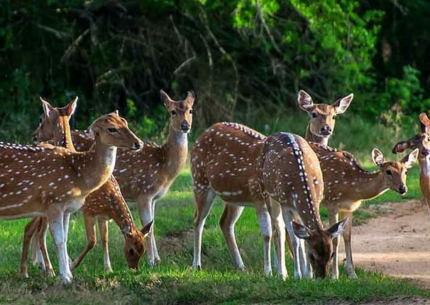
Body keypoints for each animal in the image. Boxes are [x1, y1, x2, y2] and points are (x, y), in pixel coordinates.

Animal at [0, 110, 144, 284]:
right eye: (112, 128)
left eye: (125, 122)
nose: (139, 143)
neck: (79, 174)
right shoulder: (53, 202)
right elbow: (59, 240)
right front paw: (65, 277)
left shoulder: (65, 208)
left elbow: (65, 238)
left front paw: (67, 272)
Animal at [258, 132, 346, 276]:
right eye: (312, 256)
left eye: (332, 255)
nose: (322, 277)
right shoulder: (286, 204)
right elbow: (294, 240)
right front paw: (297, 274)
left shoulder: (316, 200)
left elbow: (303, 240)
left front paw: (307, 274)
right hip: (266, 191)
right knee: (278, 230)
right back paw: (276, 272)